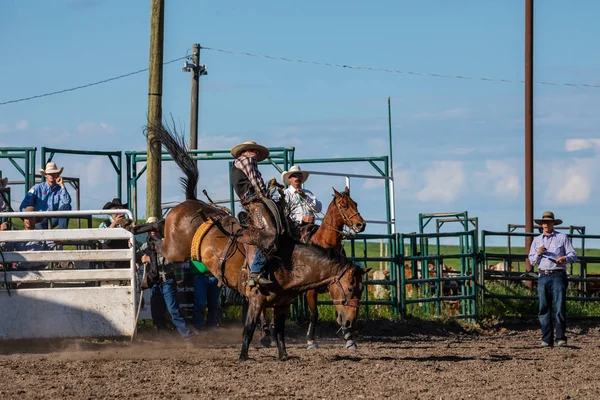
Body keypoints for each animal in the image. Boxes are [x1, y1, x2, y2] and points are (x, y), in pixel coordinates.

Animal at [138, 124, 368, 360]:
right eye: (351, 288)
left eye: (361, 290)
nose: (350, 323)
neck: (290, 262)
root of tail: (190, 201)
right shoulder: (257, 298)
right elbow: (249, 328)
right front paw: (243, 356)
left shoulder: (282, 304)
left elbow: (280, 331)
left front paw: (284, 355)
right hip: (175, 249)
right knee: (153, 242)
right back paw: (148, 273)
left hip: (174, 240)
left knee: (155, 228)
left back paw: (137, 234)